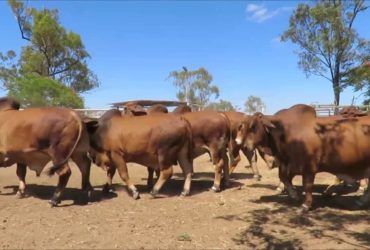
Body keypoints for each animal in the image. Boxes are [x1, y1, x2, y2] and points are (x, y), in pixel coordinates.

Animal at [237, 104, 370, 210]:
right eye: (243, 126)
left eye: (253, 126)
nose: (244, 145)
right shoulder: (288, 163)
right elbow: (284, 178)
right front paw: (293, 194)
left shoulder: (308, 167)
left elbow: (307, 185)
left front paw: (306, 204)